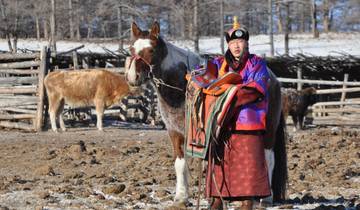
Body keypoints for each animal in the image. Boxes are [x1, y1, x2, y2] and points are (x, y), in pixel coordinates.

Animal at [124, 21, 286, 207]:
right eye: (132, 48)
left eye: (151, 50)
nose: (133, 77)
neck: (180, 88)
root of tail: (274, 79)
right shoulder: (175, 132)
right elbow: (180, 163)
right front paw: (181, 197)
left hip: (268, 131)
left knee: (269, 158)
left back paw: (265, 198)